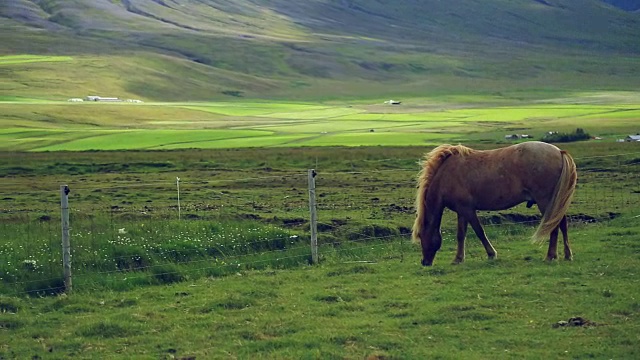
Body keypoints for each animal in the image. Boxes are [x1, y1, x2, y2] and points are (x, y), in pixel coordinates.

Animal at [412, 142, 576, 266]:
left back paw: (550, 256)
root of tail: (559, 151)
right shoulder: (461, 211)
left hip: (545, 201)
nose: (424, 262)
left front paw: (491, 254)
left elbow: (479, 232)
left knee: (553, 226)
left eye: (421, 237)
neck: (446, 175)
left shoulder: (468, 210)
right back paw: (567, 255)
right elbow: (461, 235)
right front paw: (458, 259)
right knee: (562, 224)